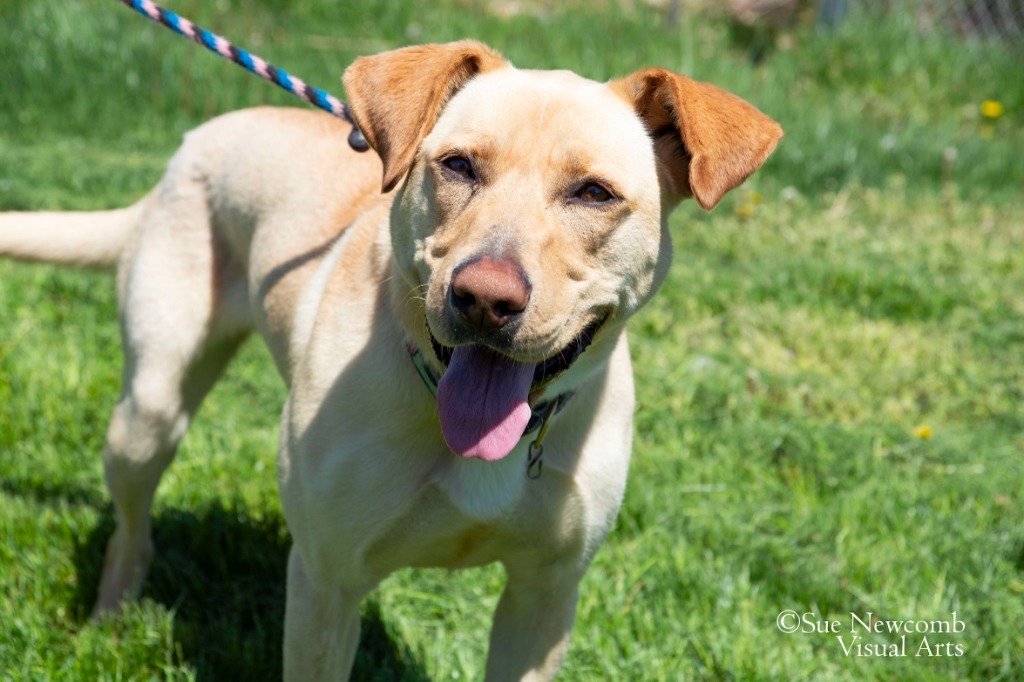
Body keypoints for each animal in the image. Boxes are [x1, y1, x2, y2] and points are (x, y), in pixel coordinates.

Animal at [2, 41, 782, 675]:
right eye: (458, 165)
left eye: (594, 192)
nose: (484, 299)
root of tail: (190, 144)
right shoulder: (326, 580)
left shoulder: (544, 598)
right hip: (149, 410)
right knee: (132, 528)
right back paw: (111, 617)